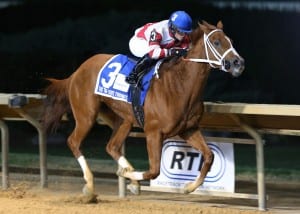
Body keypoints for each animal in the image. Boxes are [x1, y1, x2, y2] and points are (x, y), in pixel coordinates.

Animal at [41, 20, 244, 198]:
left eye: (231, 41)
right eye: (216, 42)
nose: (238, 63)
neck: (180, 86)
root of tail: (77, 72)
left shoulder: (189, 129)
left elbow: (209, 156)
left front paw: (188, 187)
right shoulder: (153, 132)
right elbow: (154, 171)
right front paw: (128, 176)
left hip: (124, 120)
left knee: (112, 146)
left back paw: (127, 173)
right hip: (86, 115)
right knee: (74, 142)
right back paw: (91, 183)